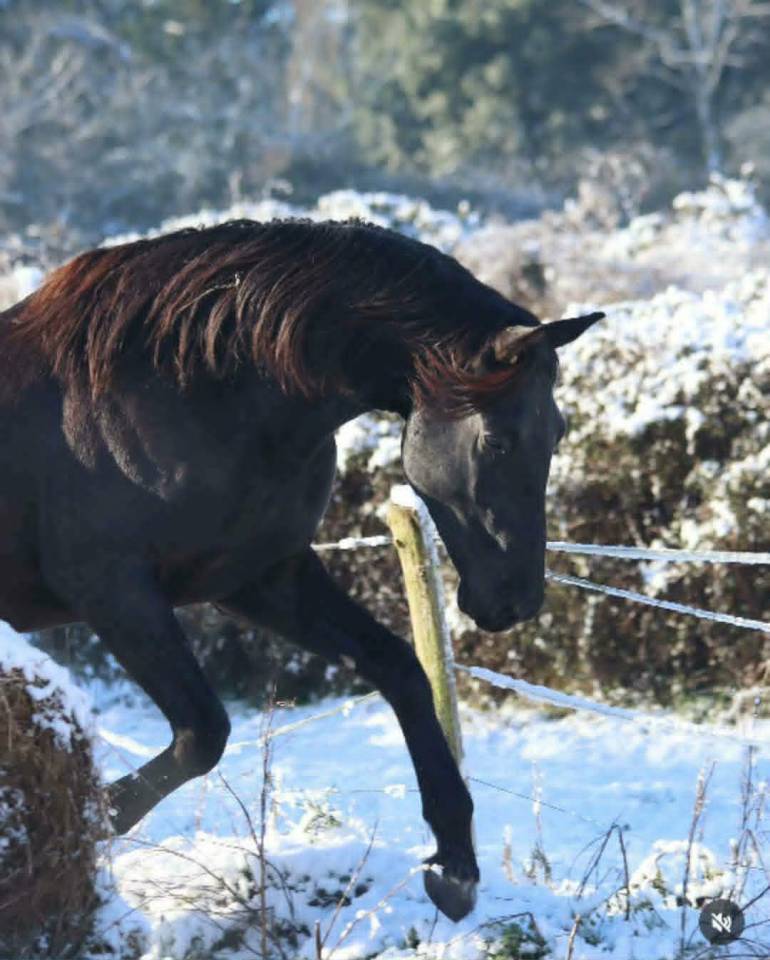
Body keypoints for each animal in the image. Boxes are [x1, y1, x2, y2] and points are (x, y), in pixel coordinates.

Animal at [0, 218, 601, 922]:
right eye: (497, 441)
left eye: (557, 433)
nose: (515, 600)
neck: (185, 389)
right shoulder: (116, 594)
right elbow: (203, 733)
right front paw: (80, 835)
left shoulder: (261, 578)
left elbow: (400, 668)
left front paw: (454, 866)